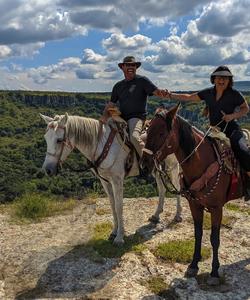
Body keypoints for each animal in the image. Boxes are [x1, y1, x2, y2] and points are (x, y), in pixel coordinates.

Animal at [40, 113, 182, 245]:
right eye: (45, 139)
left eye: (59, 140)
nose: (47, 170)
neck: (101, 145)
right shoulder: (105, 181)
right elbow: (112, 205)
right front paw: (114, 232)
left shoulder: (117, 180)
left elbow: (119, 206)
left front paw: (120, 237)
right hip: (155, 168)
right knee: (162, 188)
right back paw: (156, 215)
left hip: (173, 165)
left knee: (177, 186)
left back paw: (178, 215)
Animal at [141, 103, 244, 286]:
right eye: (147, 129)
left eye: (161, 133)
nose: (144, 165)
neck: (204, 163)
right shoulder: (195, 205)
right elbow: (198, 234)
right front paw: (194, 265)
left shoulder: (216, 208)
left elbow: (214, 238)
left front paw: (214, 272)